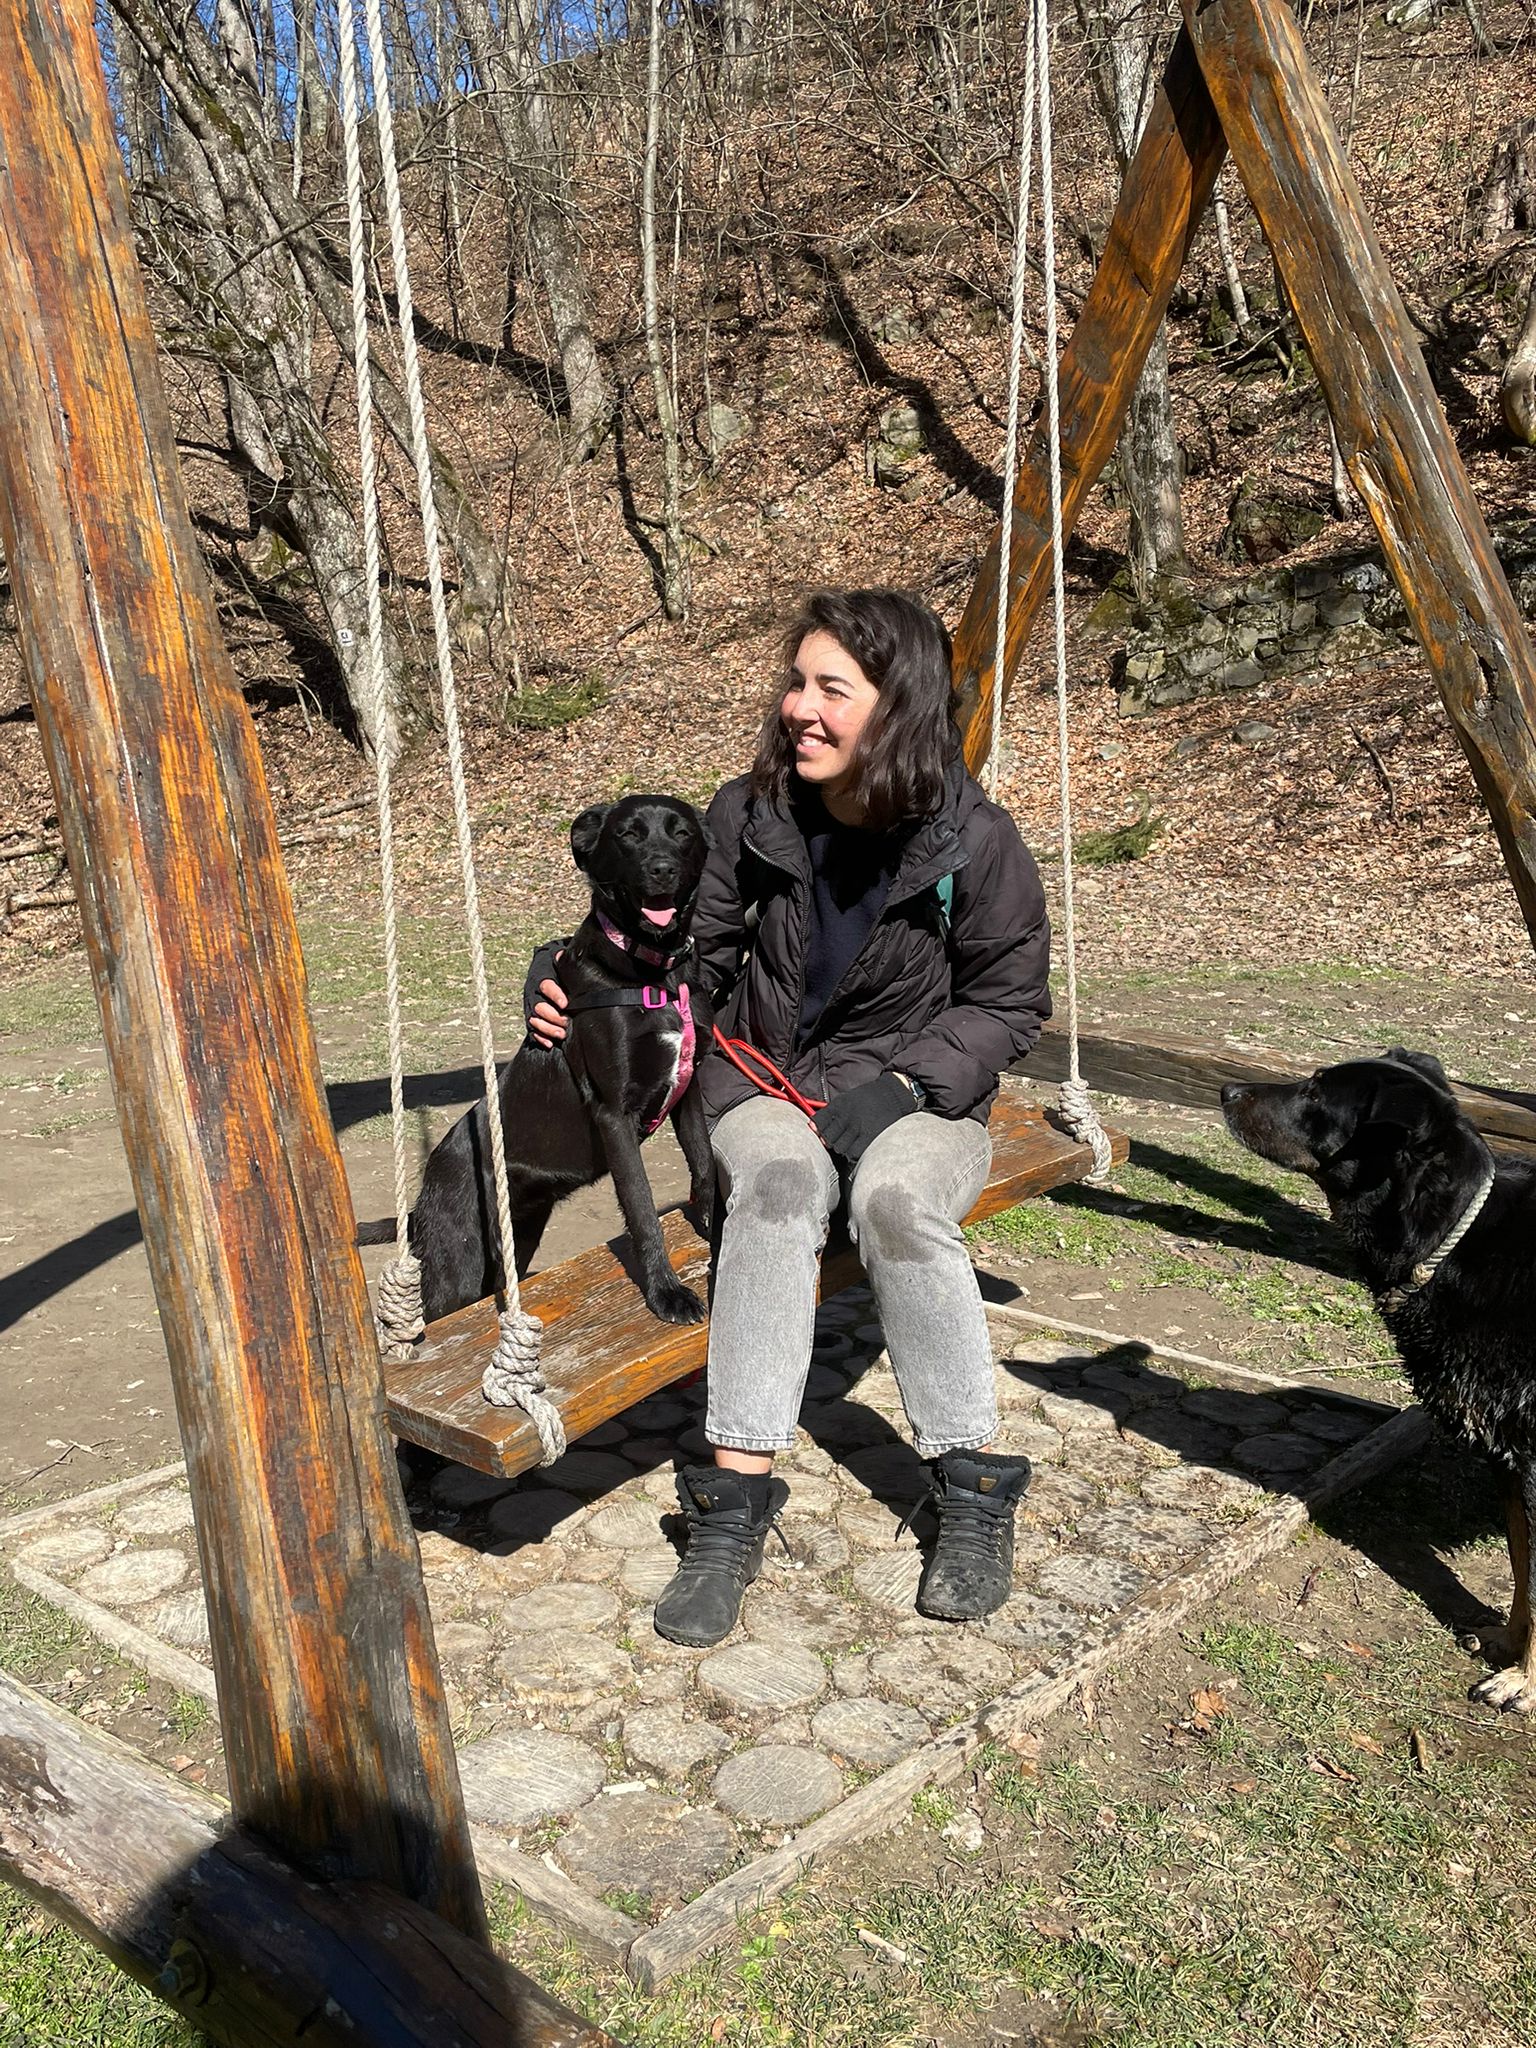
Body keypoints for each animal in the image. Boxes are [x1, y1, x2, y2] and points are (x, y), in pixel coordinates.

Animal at [363, 795, 715, 1327]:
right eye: (627, 835)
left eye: (683, 833)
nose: (662, 870)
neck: (655, 973)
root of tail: (423, 1196)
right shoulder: (614, 1115)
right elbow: (642, 1208)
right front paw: (666, 1293)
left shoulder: (688, 1090)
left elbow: (705, 1165)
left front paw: (714, 1226)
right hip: (459, 1264)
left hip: (516, 1241)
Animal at [1222, 1048, 1535, 1713]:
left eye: (1317, 1093)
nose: (1227, 1089)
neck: (1455, 1234)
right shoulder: (1508, 1455)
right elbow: (1526, 1572)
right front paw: (1510, 1644)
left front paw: (1526, 1681)